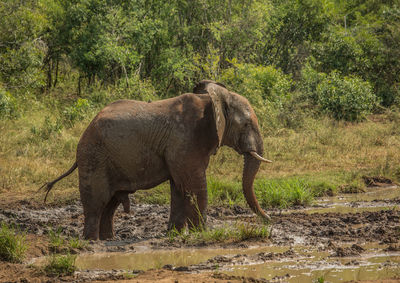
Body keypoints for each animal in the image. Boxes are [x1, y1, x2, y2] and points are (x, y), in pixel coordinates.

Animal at [41, 80, 272, 242]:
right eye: (246, 124)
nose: (268, 220)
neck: (211, 100)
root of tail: (87, 130)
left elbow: (179, 187)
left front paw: (175, 235)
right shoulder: (184, 140)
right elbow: (195, 185)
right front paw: (201, 233)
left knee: (110, 204)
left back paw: (108, 239)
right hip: (93, 157)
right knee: (97, 203)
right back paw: (92, 241)